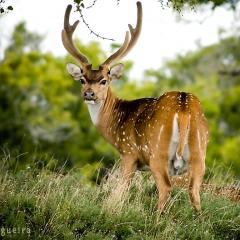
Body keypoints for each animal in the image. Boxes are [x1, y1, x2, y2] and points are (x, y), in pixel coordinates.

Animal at [61, 1, 208, 212]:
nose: (89, 94)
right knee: (194, 191)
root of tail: (183, 107)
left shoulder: (129, 153)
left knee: (165, 188)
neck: (116, 124)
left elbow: (121, 190)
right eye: (82, 79)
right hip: (199, 151)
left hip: (157, 152)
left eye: (104, 80)